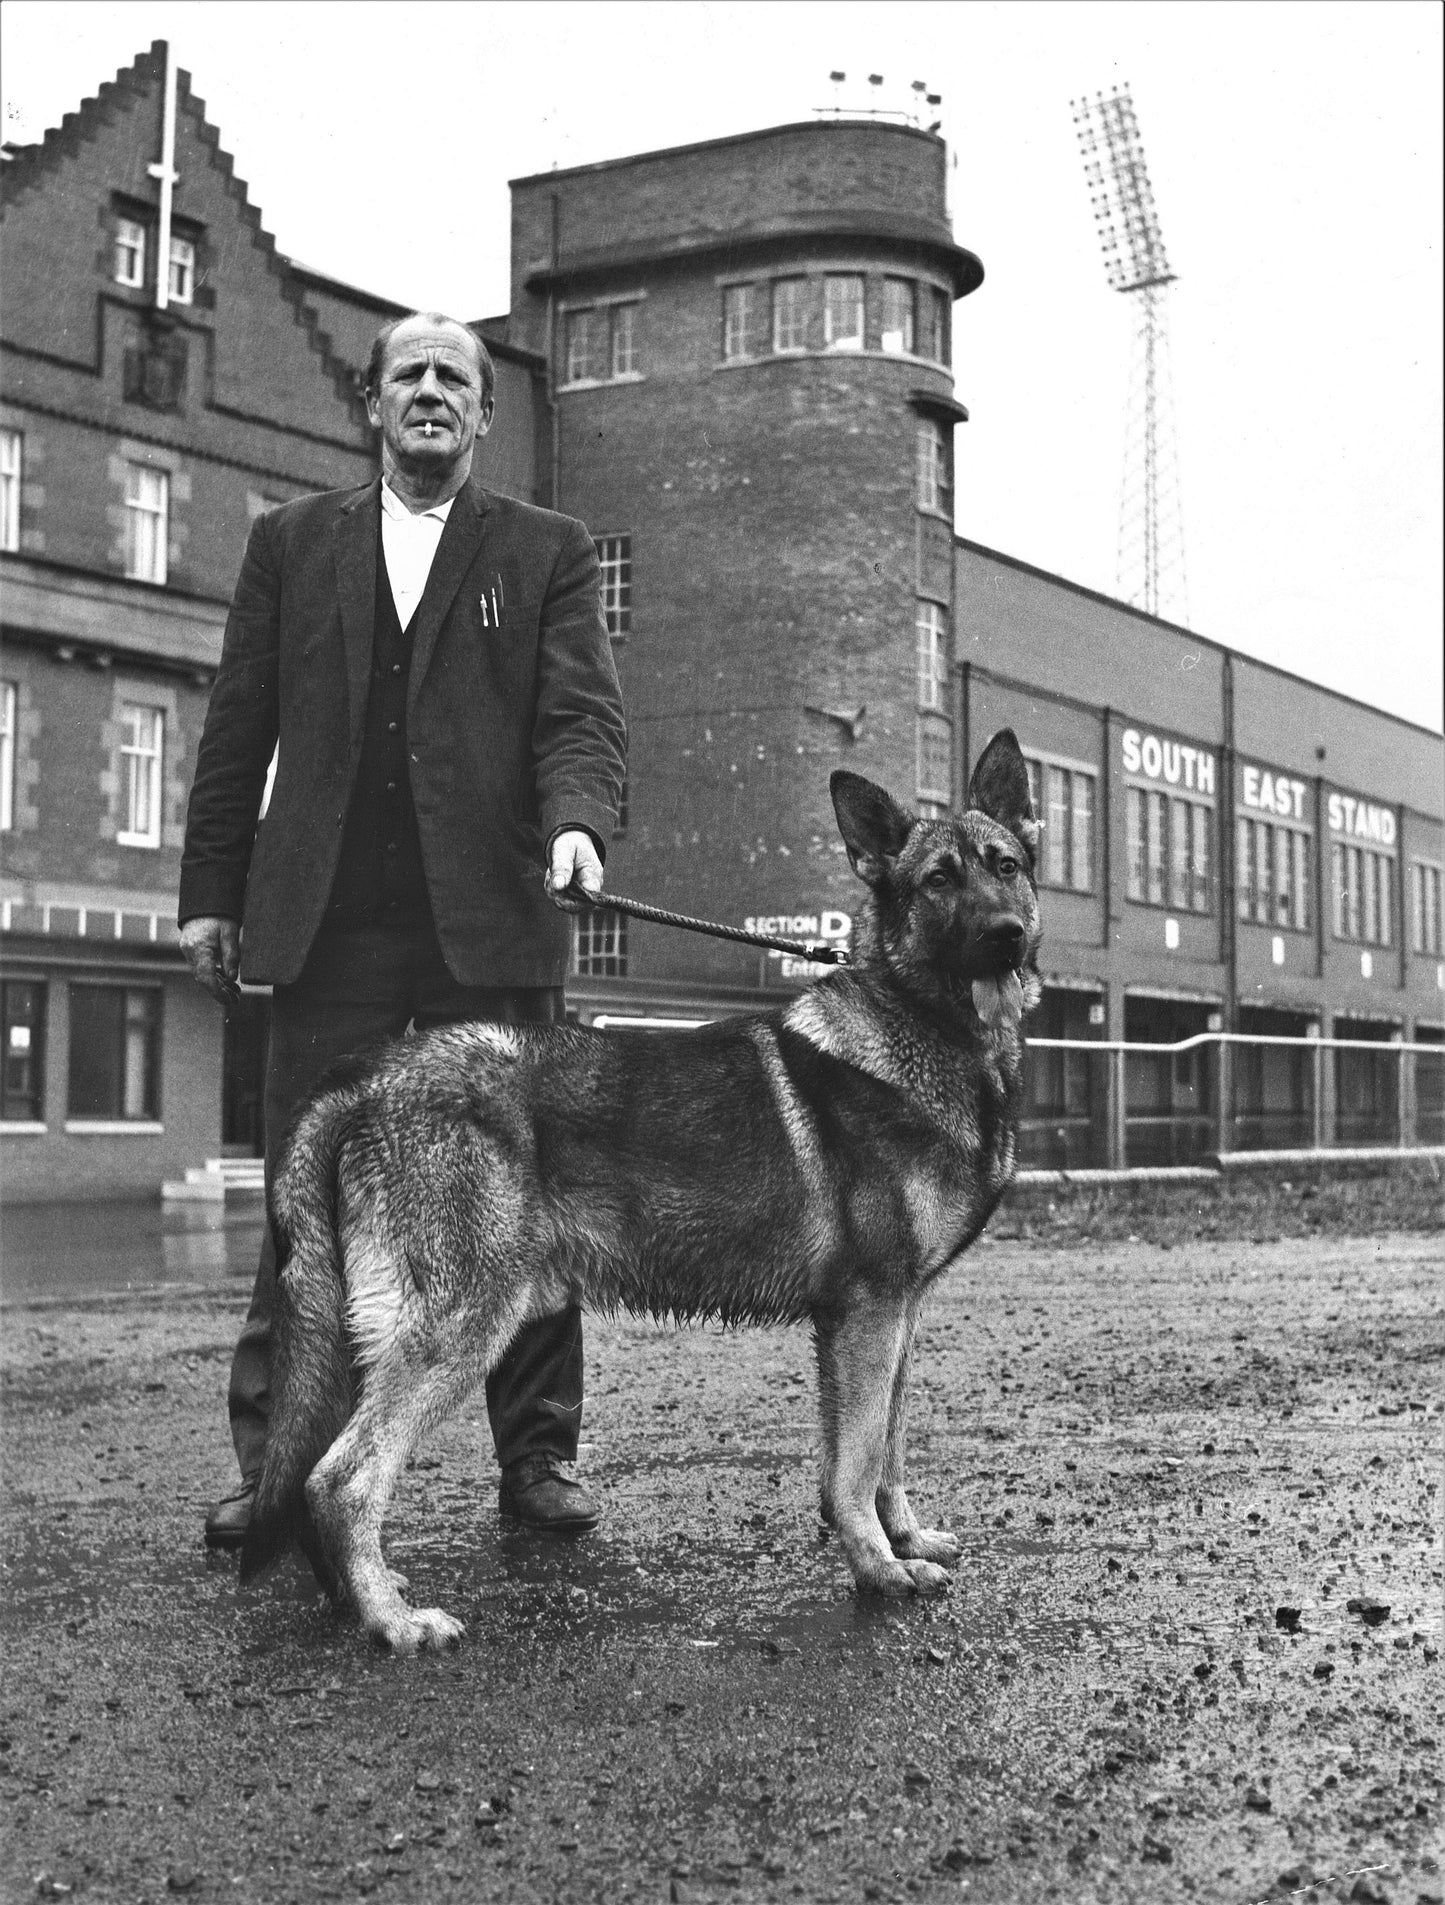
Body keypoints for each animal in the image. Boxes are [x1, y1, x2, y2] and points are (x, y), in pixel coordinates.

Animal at [242, 727, 1043, 1653]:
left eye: (1005, 865)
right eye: (938, 881)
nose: (1006, 935)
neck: (923, 1027)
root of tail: (366, 1077)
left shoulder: (894, 1318)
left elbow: (885, 1450)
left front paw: (902, 1537)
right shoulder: (869, 1314)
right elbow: (854, 1464)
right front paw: (878, 1569)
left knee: (323, 1474)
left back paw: (356, 1594)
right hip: (457, 1326)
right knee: (339, 1478)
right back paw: (391, 1620)